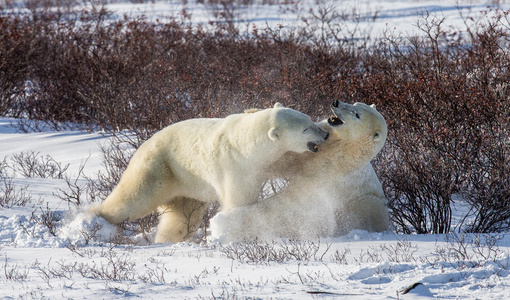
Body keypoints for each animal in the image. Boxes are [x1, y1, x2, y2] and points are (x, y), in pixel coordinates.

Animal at [93, 103, 328, 244]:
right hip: (159, 167)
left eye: (309, 119)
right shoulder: (237, 167)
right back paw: (95, 221)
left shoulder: (270, 160)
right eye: (305, 128)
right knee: (133, 198)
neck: (248, 141)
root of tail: (142, 145)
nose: (325, 134)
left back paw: (167, 240)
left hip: (186, 184)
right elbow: (238, 200)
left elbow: (291, 162)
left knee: (182, 219)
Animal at [211, 101, 390, 241]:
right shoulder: (312, 154)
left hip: (366, 205)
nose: (336, 102)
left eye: (357, 114)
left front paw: (224, 224)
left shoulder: (326, 175)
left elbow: (289, 202)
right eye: (355, 103)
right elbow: (283, 159)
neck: (343, 150)